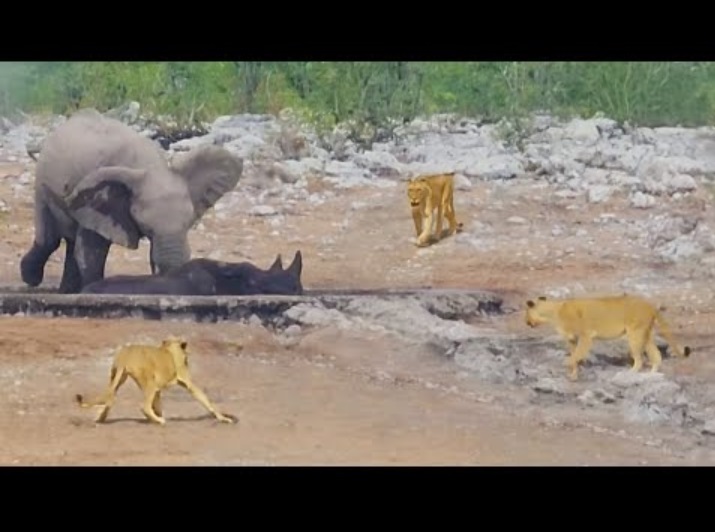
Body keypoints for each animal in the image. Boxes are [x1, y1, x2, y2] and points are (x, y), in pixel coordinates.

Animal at [21, 106, 245, 294]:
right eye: (146, 226)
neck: (150, 167)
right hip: (40, 182)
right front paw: (93, 289)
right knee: (49, 239)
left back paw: (66, 291)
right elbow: (92, 250)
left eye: (190, 223)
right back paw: (31, 278)